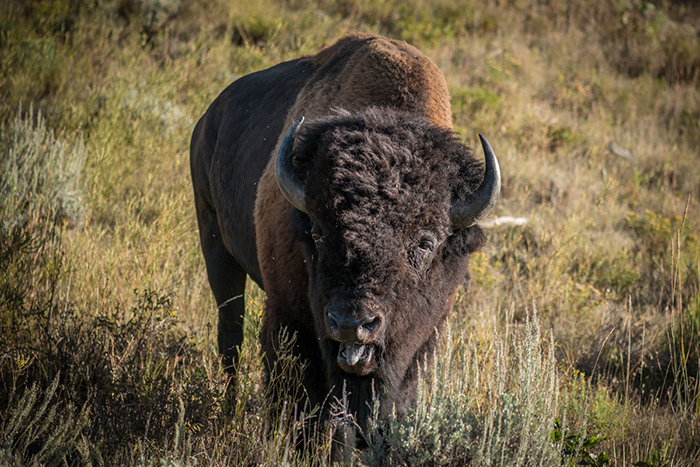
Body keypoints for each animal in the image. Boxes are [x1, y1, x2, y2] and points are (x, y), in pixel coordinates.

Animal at [189, 33, 500, 446]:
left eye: (425, 243)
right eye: (317, 233)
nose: (352, 323)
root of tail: (210, 117)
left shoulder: (416, 344)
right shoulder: (288, 317)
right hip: (216, 246)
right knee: (230, 335)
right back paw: (227, 411)